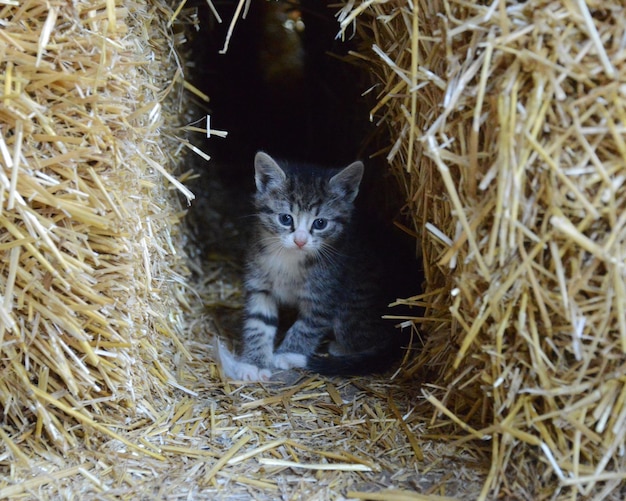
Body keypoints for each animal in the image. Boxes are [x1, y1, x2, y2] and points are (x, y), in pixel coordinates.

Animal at [219, 151, 404, 378]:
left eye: (320, 223)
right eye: (285, 218)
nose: (300, 241)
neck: (290, 257)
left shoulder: (323, 298)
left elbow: (307, 327)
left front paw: (287, 354)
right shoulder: (260, 286)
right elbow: (259, 322)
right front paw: (254, 363)